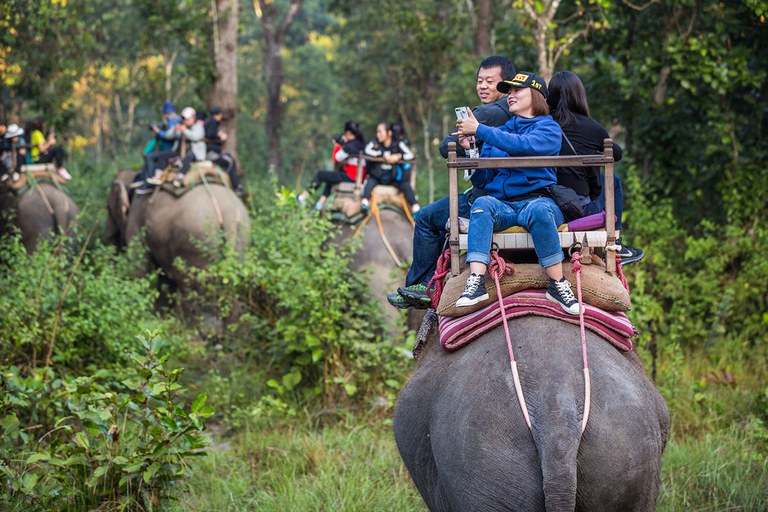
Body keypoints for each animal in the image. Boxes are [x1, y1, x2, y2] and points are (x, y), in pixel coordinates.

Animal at [104, 169, 249, 286]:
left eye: (108, 208)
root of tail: (228, 213)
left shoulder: (135, 224)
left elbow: (140, 271)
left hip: (197, 240)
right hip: (240, 236)